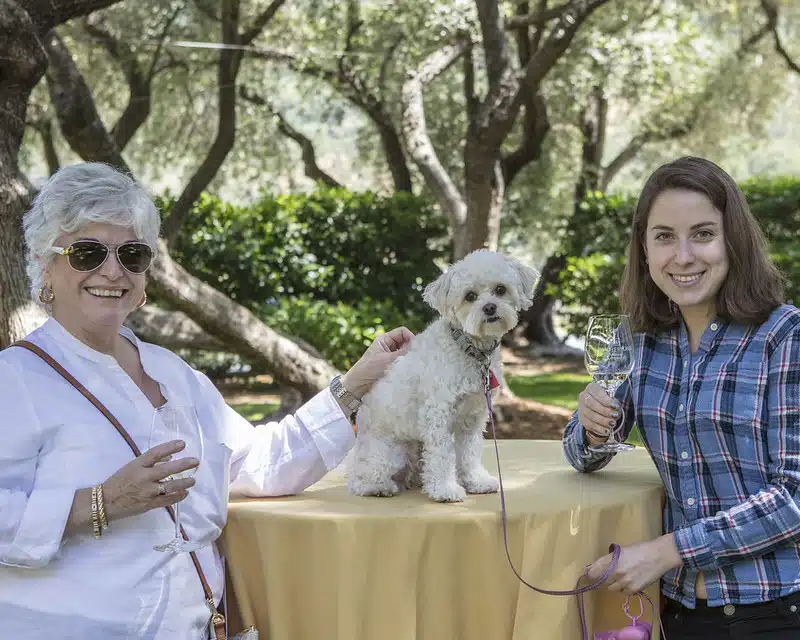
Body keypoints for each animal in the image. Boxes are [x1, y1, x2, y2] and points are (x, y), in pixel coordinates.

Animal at [346, 248, 540, 502]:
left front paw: (476, 481)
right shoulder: (438, 414)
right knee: (361, 481)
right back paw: (381, 487)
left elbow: (469, 452)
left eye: (500, 289)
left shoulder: (473, 417)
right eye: (470, 296)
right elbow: (442, 455)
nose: (489, 307)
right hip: (392, 453)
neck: (470, 350)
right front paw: (445, 489)